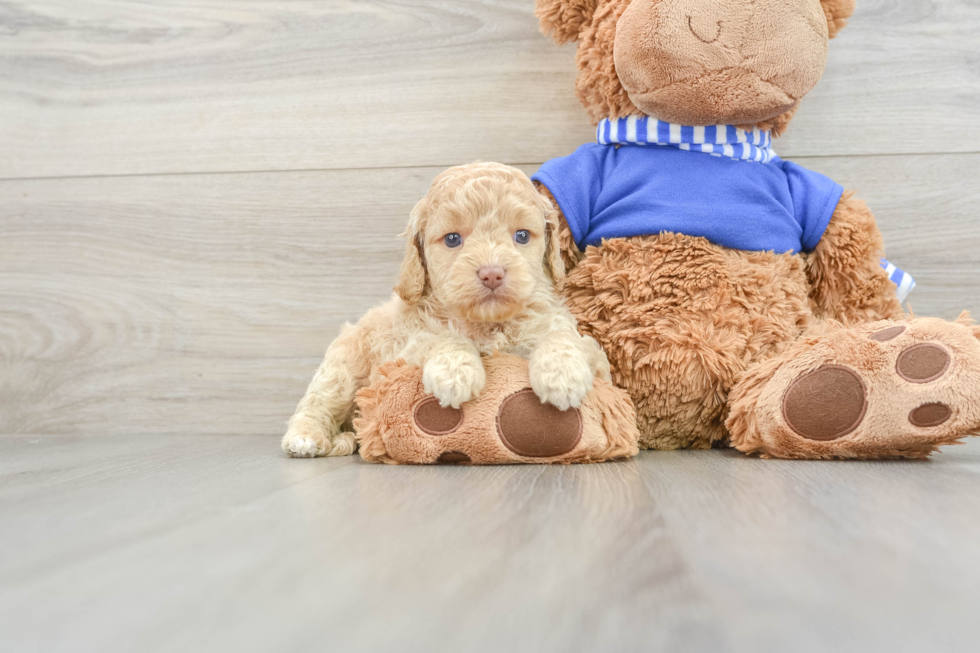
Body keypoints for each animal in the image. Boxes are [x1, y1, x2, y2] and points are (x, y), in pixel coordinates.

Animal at [280, 160, 608, 456]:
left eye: (522, 235)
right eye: (452, 239)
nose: (492, 273)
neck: (488, 324)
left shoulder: (593, 355)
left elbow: (562, 336)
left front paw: (562, 373)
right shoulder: (406, 348)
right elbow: (442, 336)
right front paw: (454, 372)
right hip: (342, 368)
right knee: (318, 403)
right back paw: (306, 438)